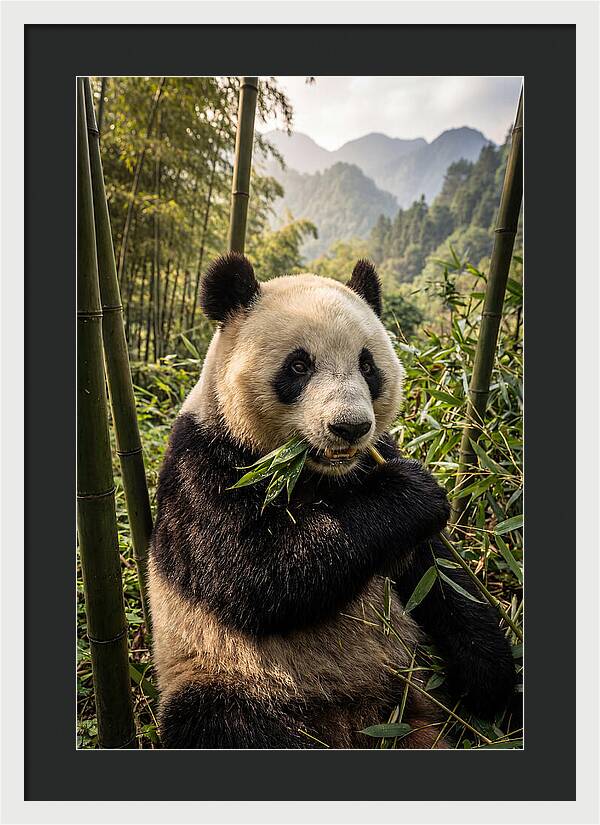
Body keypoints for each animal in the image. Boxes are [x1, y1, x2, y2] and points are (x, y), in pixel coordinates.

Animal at [148, 253, 516, 749]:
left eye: (367, 365)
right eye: (299, 366)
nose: (350, 427)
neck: (315, 472)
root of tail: (359, 722)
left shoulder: (376, 461)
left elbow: (439, 577)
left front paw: (490, 678)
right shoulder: (203, 464)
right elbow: (255, 573)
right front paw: (412, 493)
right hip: (228, 673)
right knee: (220, 721)